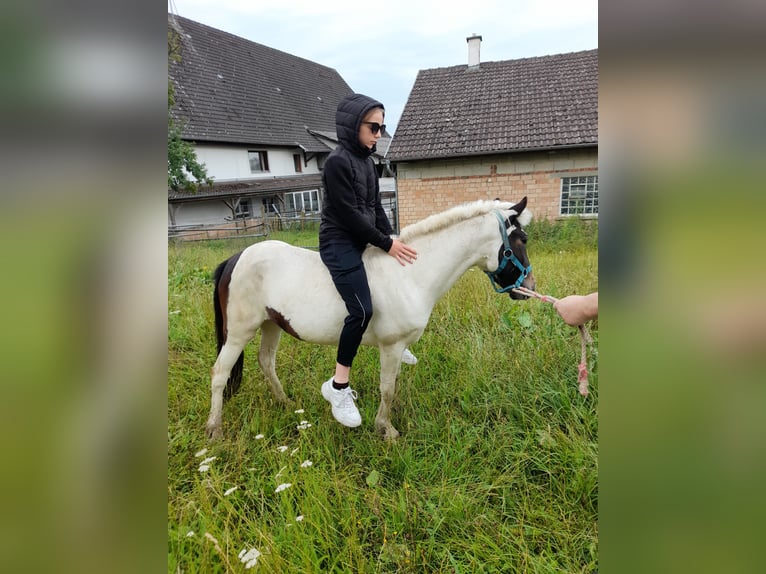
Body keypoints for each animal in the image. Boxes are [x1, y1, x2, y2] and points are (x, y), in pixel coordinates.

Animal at [205, 197, 535, 441]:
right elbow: (386, 388)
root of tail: (235, 258)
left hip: (271, 324)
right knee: (220, 373)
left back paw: (286, 404)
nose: (530, 289)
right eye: (521, 239)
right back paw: (215, 430)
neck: (410, 274)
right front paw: (386, 430)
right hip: (239, 332)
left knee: (266, 362)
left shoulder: (398, 349)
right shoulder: (391, 346)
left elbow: (394, 384)